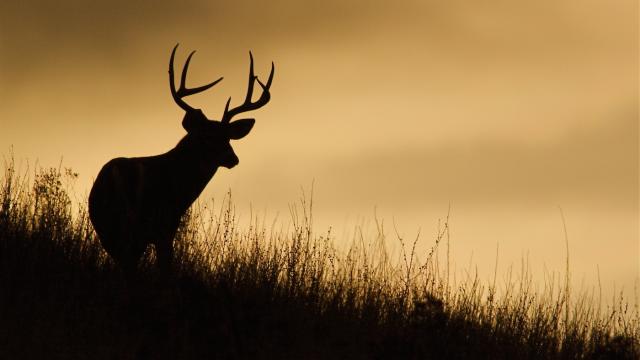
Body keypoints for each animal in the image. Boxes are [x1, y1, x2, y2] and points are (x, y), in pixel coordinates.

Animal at [87, 43, 272, 278]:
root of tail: (113, 176)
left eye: (228, 137)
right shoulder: (166, 227)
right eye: (207, 136)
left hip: (108, 229)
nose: (233, 158)